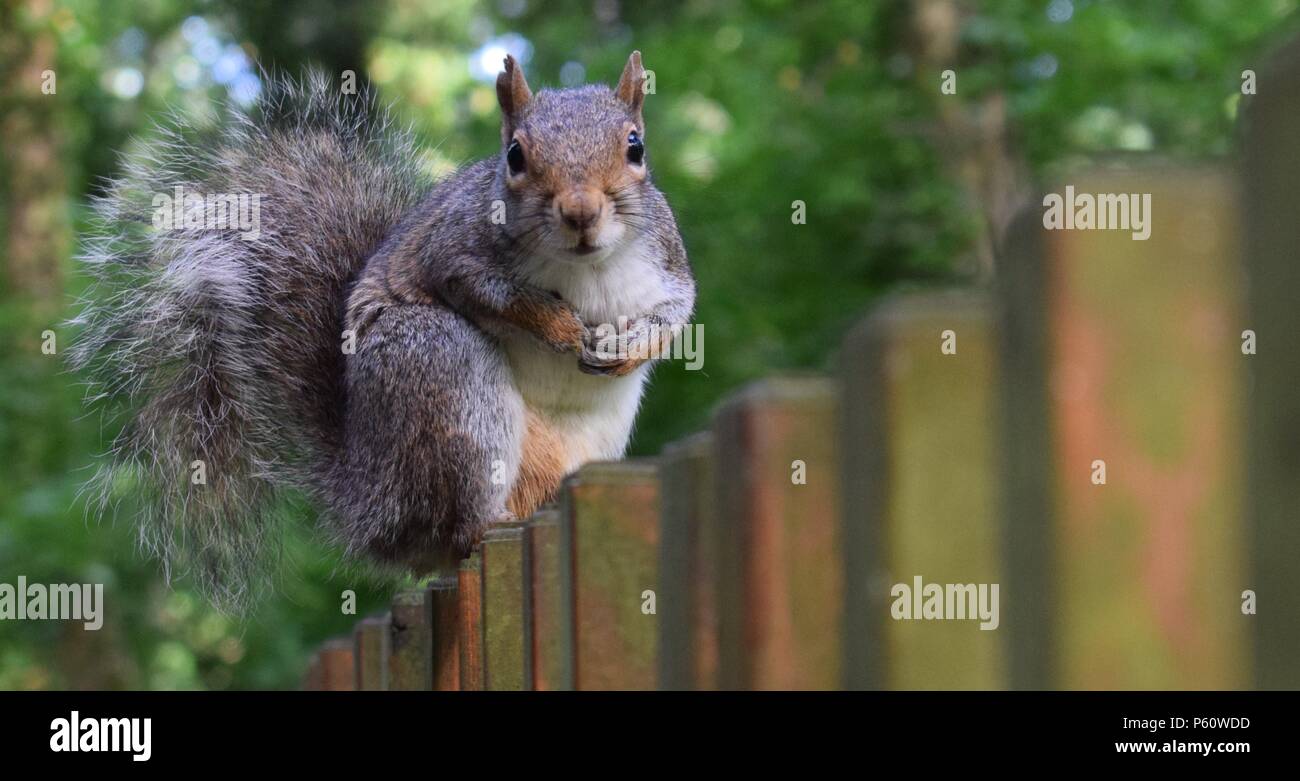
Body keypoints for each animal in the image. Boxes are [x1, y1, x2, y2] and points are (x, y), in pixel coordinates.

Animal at [72, 51, 696, 605]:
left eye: (635, 146)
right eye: (515, 156)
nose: (581, 212)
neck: (585, 267)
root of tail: (368, 500)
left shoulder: (668, 262)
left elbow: (677, 313)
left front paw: (630, 346)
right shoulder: (453, 252)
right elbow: (492, 294)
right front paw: (561, 327)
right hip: (439, 369)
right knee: (455, 526)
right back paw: (482, 523)